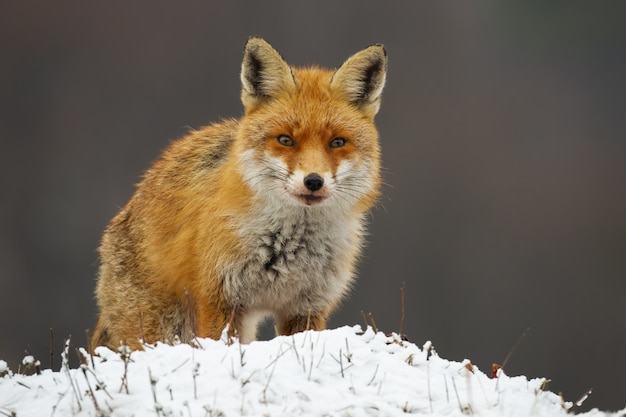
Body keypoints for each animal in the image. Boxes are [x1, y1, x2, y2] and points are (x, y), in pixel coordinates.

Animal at [91, 37, 386, 350]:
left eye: (337, 142)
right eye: (285, 140)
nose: (314, 181)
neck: (291, 246)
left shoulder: (307, 307)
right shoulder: (219, 298)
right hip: (164, 328)